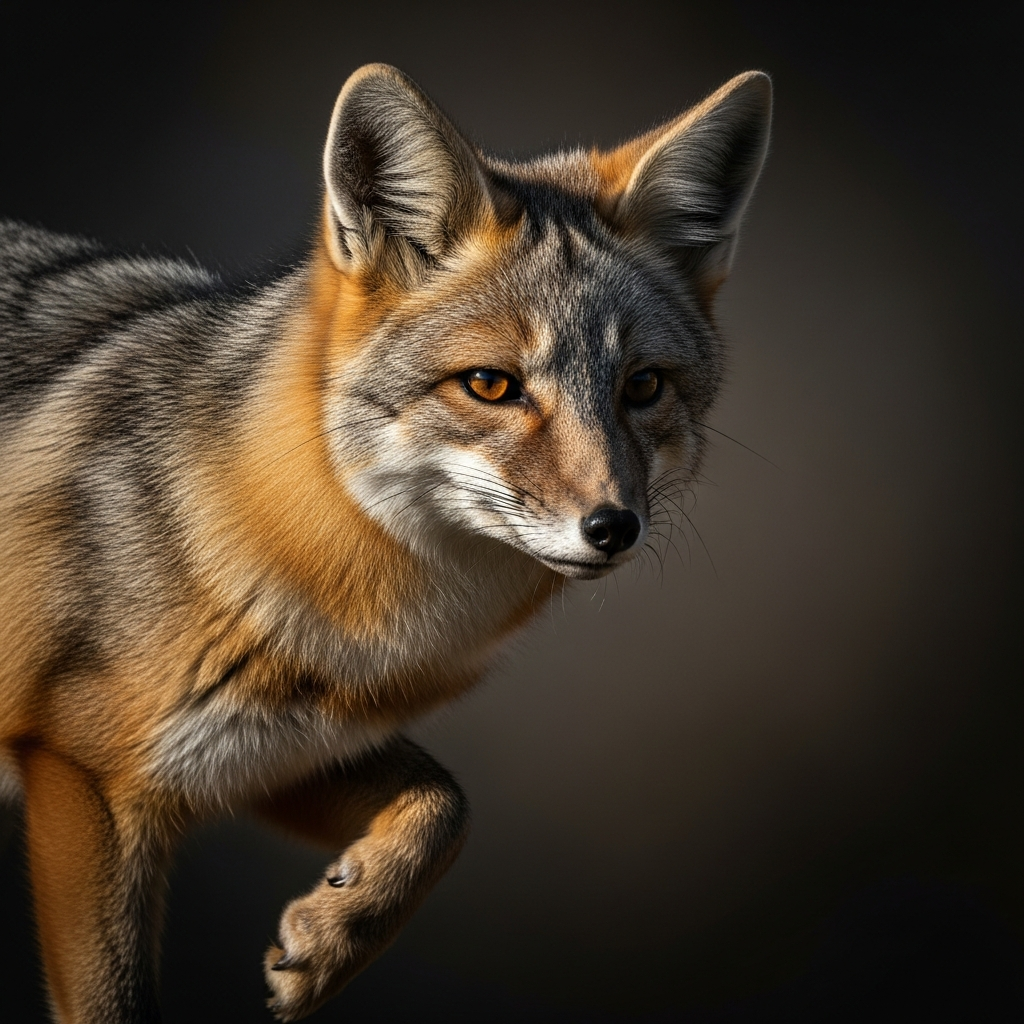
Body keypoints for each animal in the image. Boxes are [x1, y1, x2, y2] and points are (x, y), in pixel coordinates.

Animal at [0, 63, 771, 1022]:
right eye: (491, 385)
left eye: (643, 387)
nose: (612, 526)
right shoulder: (86, 776)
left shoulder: (269, 753)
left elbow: (448, 805)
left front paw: (338, 934)